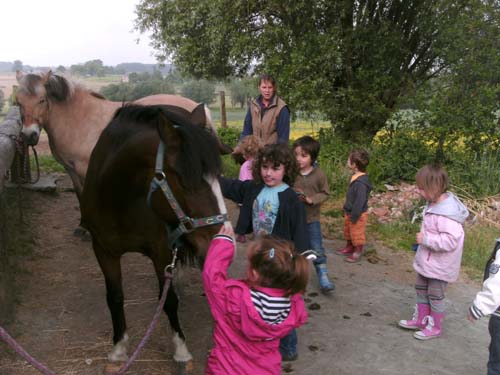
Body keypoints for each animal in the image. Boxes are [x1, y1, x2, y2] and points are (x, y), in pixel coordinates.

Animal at [81, 104, 231, 372]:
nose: (226, 236)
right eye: (185, 180)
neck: (118, 198)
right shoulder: (103, 250)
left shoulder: (161, 251)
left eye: (218, 178)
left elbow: (169, 300)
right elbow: (114, 297)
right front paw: (119, 349)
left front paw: (181, 351)